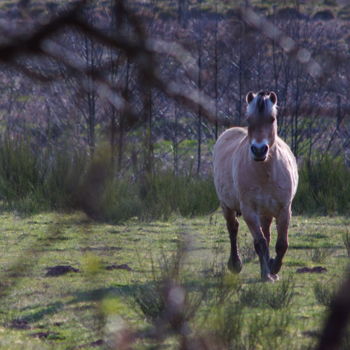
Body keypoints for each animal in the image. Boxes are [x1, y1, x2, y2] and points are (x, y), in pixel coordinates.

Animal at [213, 90, 298, 282]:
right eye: (249, 119)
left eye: (272, 119)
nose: (259, 150)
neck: (266, 173)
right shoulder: (249, 211)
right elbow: (260, 243)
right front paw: (267, 273)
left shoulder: (284, 209)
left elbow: (281, 244)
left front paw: (273, 268)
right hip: (227, 205)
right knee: (233, 228)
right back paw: (236, 264)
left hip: (266, 212)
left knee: (266, 233)